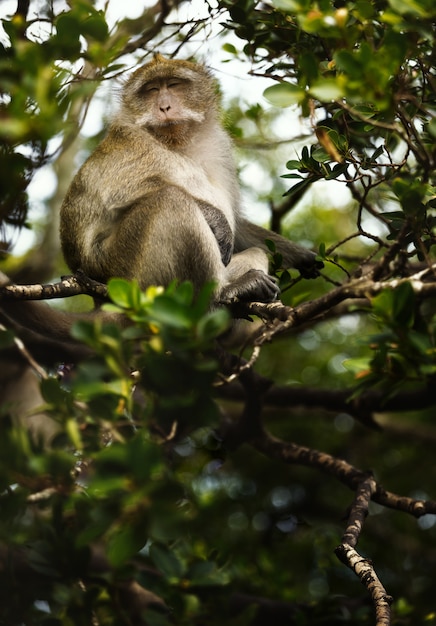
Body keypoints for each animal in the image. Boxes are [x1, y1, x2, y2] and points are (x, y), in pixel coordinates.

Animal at [59, 53, 322, 308]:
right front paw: (218, 220)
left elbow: (238, 226)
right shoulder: (133, 145)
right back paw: (223, 292)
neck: (178, 143)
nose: (164, 106)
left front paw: (303, 256)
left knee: (256, 251)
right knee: (172, 200)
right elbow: (119, 194)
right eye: (151, 89)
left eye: (174, 84)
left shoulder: (220, 147)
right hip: (124, 270)